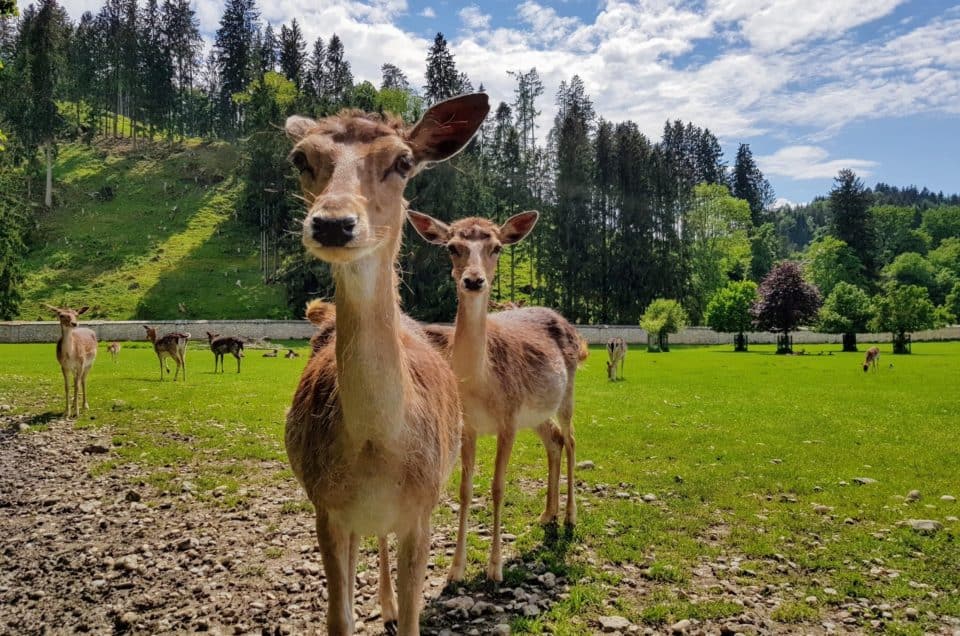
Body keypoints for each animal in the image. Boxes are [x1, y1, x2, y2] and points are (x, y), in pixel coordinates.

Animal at [280, 94, 488, 636]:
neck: (377, 447)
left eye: (403, 161)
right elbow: (339, 618)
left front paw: (401, 612)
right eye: (301, 158)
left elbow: (416, 615)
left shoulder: (422, 509)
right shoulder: (327, 508)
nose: (333, 222)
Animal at [408, 209, 588, 580]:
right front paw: (455, 570)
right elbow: (464, 490)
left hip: (566, 393)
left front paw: (494, 568)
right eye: (452, 247)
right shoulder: (468, 426)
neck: (481, 384)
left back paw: (569, 516)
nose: (474, 280)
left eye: (496, 248)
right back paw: (547, 514)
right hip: (534, 413)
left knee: (571, 438)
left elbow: (497, 487)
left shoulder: (507, 420)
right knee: (554, 440)